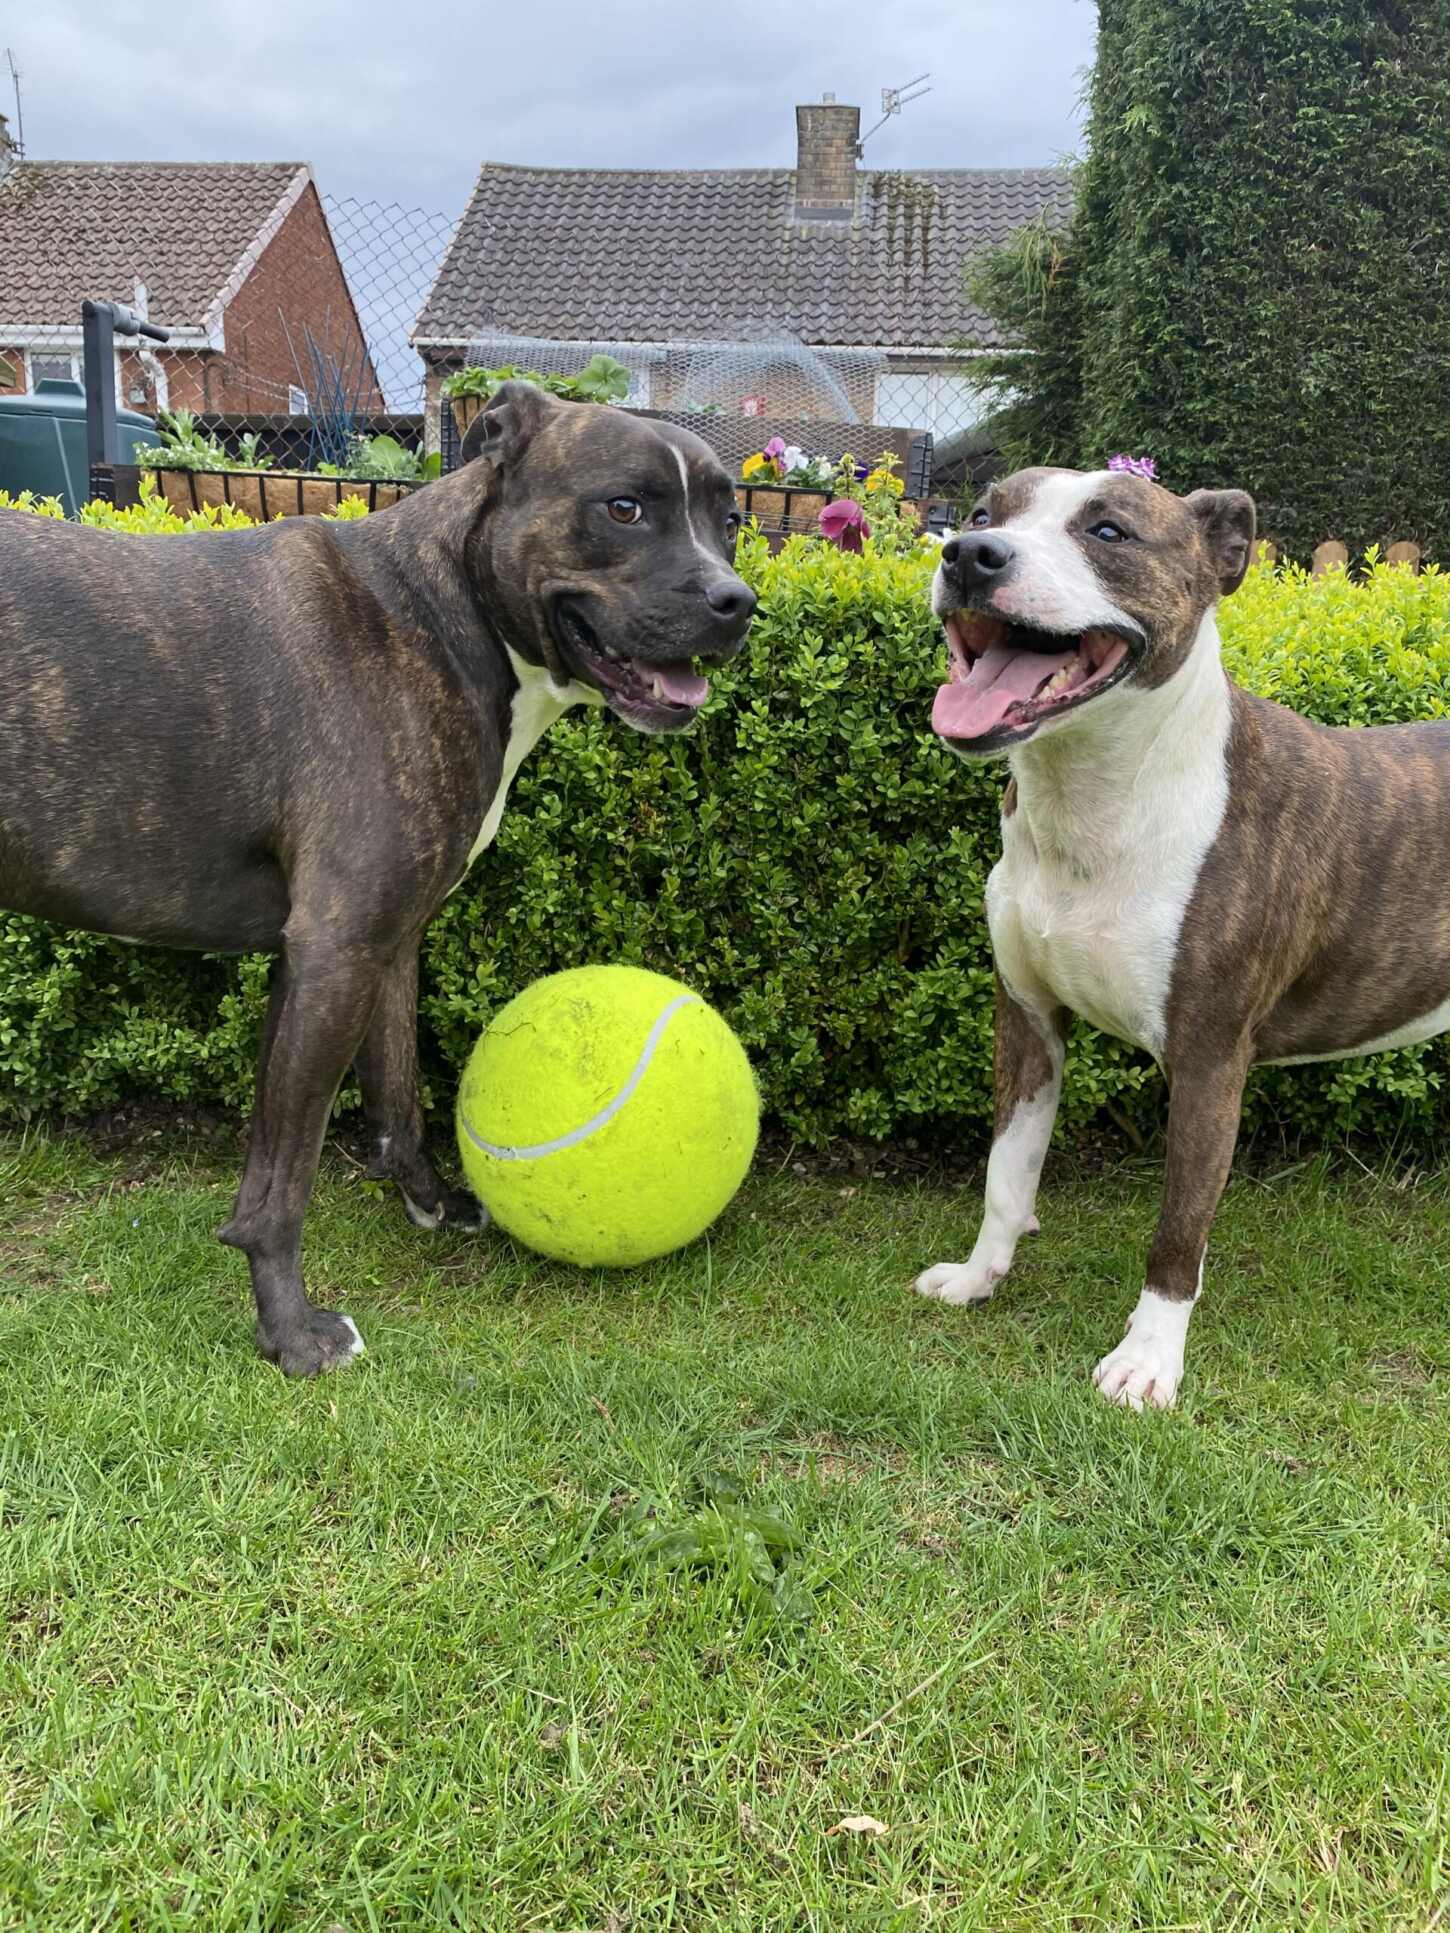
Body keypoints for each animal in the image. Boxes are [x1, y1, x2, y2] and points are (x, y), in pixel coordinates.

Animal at [920, 465, 1450, 1407]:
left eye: (1110, 531)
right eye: (984, 512)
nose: (971, 554)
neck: (1094, 799)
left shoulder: (1209, 1059)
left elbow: (1179, 1227)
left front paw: (1148, 1359)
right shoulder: (1028, 1021)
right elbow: (1006, 1172)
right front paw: (981, 1276)